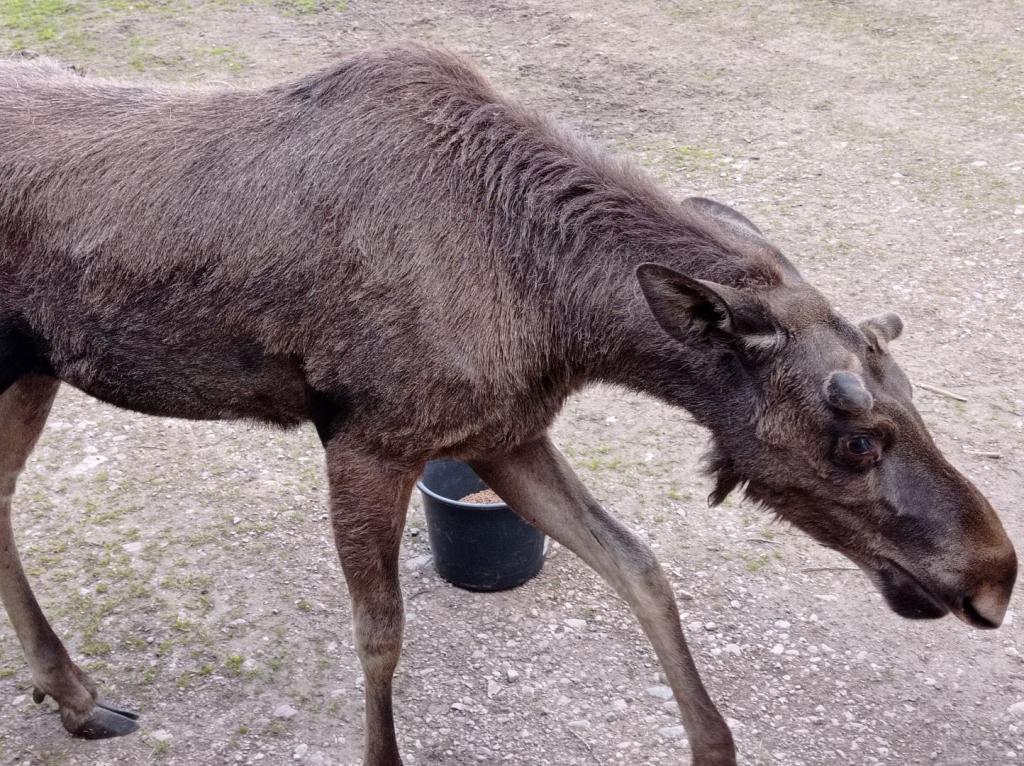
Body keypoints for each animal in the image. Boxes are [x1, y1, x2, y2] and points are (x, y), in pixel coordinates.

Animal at [0, 43, 1015, 766]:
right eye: (855, 437)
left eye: (910, 396)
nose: (995, 576)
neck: (550, 310)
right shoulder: (368, 437)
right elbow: (381, 634)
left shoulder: (505, 433)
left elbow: (640, 566)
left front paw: (713, 746)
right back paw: (73, 690)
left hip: (32, 371)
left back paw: (74, 696)